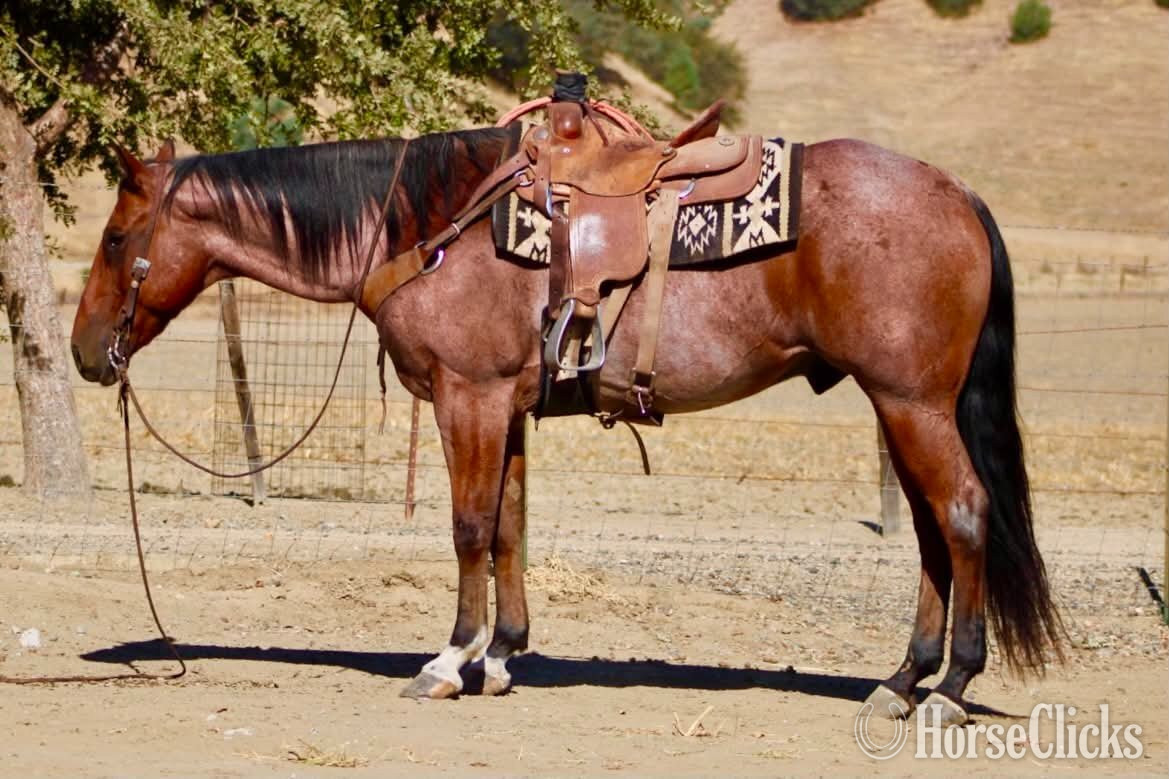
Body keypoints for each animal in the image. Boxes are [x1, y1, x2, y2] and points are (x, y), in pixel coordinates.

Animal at [70, 127, 1063, 725]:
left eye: (116, 240)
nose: (85, 352)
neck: (427, 226)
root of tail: (956, 192)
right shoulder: (505, 406)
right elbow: (509, 526)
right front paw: (503, 655)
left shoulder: (468, 396)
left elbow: (469, 527)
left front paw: (449, 659)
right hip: (897, 405)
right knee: (932, 531)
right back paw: (899, 680)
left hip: (911, 401)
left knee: (962, 514)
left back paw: (949, 686)